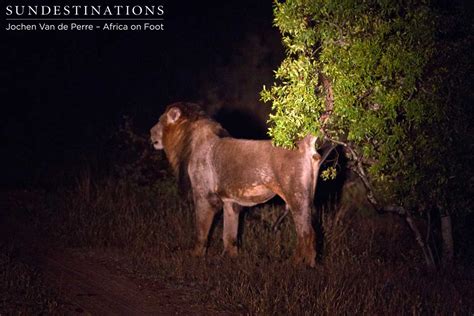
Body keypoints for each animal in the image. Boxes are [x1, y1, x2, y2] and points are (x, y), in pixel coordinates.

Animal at [151, 102, 322, 266]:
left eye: (159, 120)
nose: (150, 132)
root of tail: (304, 144)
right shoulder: (230, 201)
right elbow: (230, 235)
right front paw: (231, 259)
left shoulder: (204, 196)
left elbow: (201, 231)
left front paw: (196, 256)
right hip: (306, 198)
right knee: (309, 233)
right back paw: (309, 264)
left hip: (296, 198)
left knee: (306, 234)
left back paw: (299, 265)